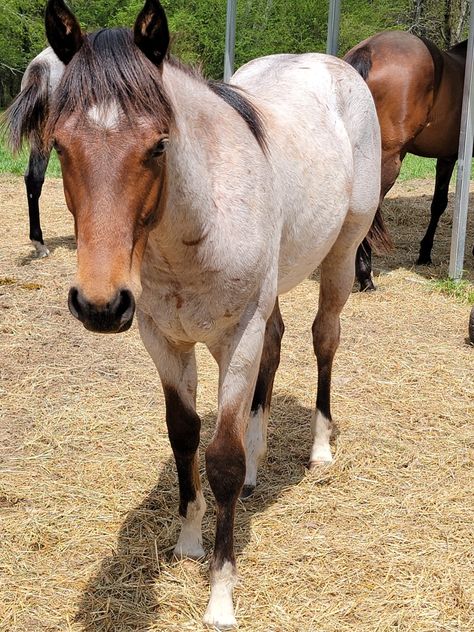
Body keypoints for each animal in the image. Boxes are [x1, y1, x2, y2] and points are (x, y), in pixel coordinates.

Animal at [8, 0, 386, 624]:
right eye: (59, 145)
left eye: (158, 145)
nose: (99, 304)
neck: (195, 227)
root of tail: (342, 66)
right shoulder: (163, 339)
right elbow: (183, 436)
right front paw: (187, 540)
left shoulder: (237, 339)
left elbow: (222, 459)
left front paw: (220, 596)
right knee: (278, 346)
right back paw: (261, 466)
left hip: (338, 259)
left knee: (323, 339)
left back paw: (320, 450)